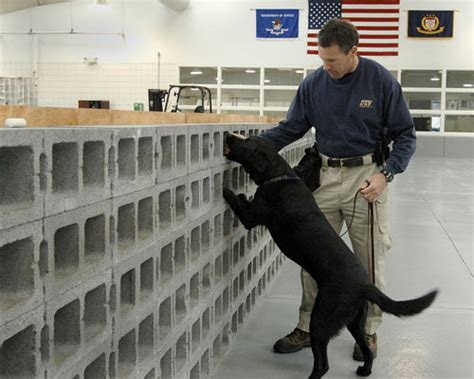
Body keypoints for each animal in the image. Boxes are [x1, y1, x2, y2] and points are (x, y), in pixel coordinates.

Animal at [224, 135, 438, 378]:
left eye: (247, 142)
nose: (229, 136)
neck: (278, 176)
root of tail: (365, 284)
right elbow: (242, 198)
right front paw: (241, 193)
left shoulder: (250, 217)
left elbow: (233, 199)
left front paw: (225, 188)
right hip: (354, 322)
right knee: (365, 349)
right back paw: (364, 370)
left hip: (321, 318)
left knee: (323, 364)